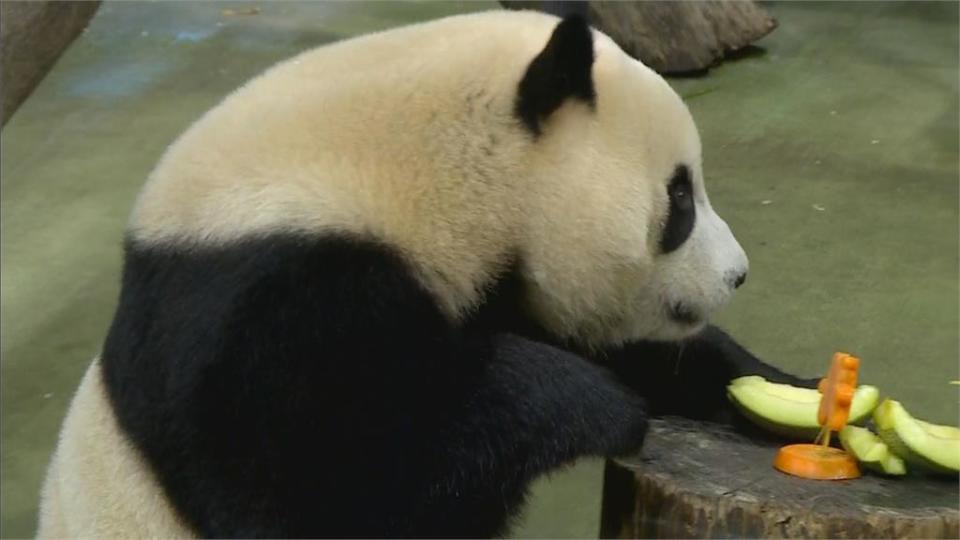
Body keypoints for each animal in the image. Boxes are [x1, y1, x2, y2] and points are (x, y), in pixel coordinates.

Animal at [35, 9, 808, 540]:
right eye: (679, 198)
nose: (737, 275)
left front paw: (776, 393)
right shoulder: (262, 302)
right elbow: (331, 487)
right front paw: (596, 405)